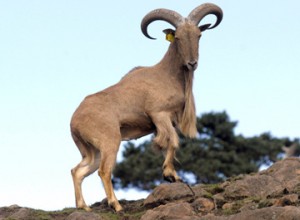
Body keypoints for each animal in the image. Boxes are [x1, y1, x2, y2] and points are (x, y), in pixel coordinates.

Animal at [69, 3, 220, 211]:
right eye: (178, 37)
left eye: (198, 35)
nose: (192, 63)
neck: (167, 74)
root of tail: (74, 121)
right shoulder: (159, 115)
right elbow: (173, 141)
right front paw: (169, 174)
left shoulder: (165, 122)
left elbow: (168, 145)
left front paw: (173, 175)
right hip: (110, 142)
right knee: (104, 171)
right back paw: (116, 205)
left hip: (91, 151)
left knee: (77, 171)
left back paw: (83, 206)